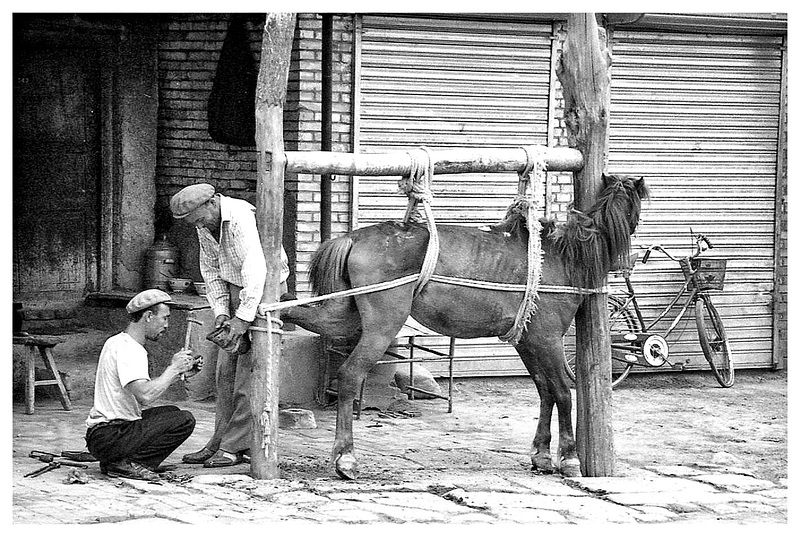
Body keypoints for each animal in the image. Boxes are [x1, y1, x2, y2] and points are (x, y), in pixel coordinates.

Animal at [282, 174, 648, 480]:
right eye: (637, 209)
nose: (629, 261)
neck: (562, 257)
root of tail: (353, 238)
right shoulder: (548, 340)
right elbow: (562, 392)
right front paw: (569, 457)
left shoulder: (527, 342)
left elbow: (544, 391)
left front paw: (542, 454)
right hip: (381, 328)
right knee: (349, 376)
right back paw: (345, 458)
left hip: (347, 316)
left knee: (314, 321)